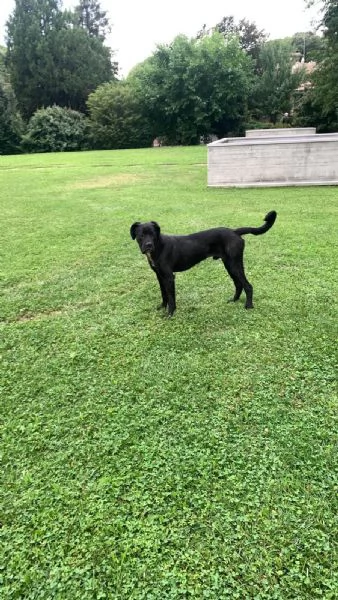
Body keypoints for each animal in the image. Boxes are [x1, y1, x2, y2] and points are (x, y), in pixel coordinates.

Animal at [131, 211, 276, 316]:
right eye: (141, 235)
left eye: (153, 234)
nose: (148, 245)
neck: (159, 247)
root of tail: (234, 231)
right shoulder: (160, 276)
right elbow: (164, 294)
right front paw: (162, 307)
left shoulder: (169, 277)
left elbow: (171, 297)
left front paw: (170, 313)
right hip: (229, 265)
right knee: (239, 283)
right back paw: (233, 300)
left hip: (234, 264)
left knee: (248, 285)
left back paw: (248, 306)